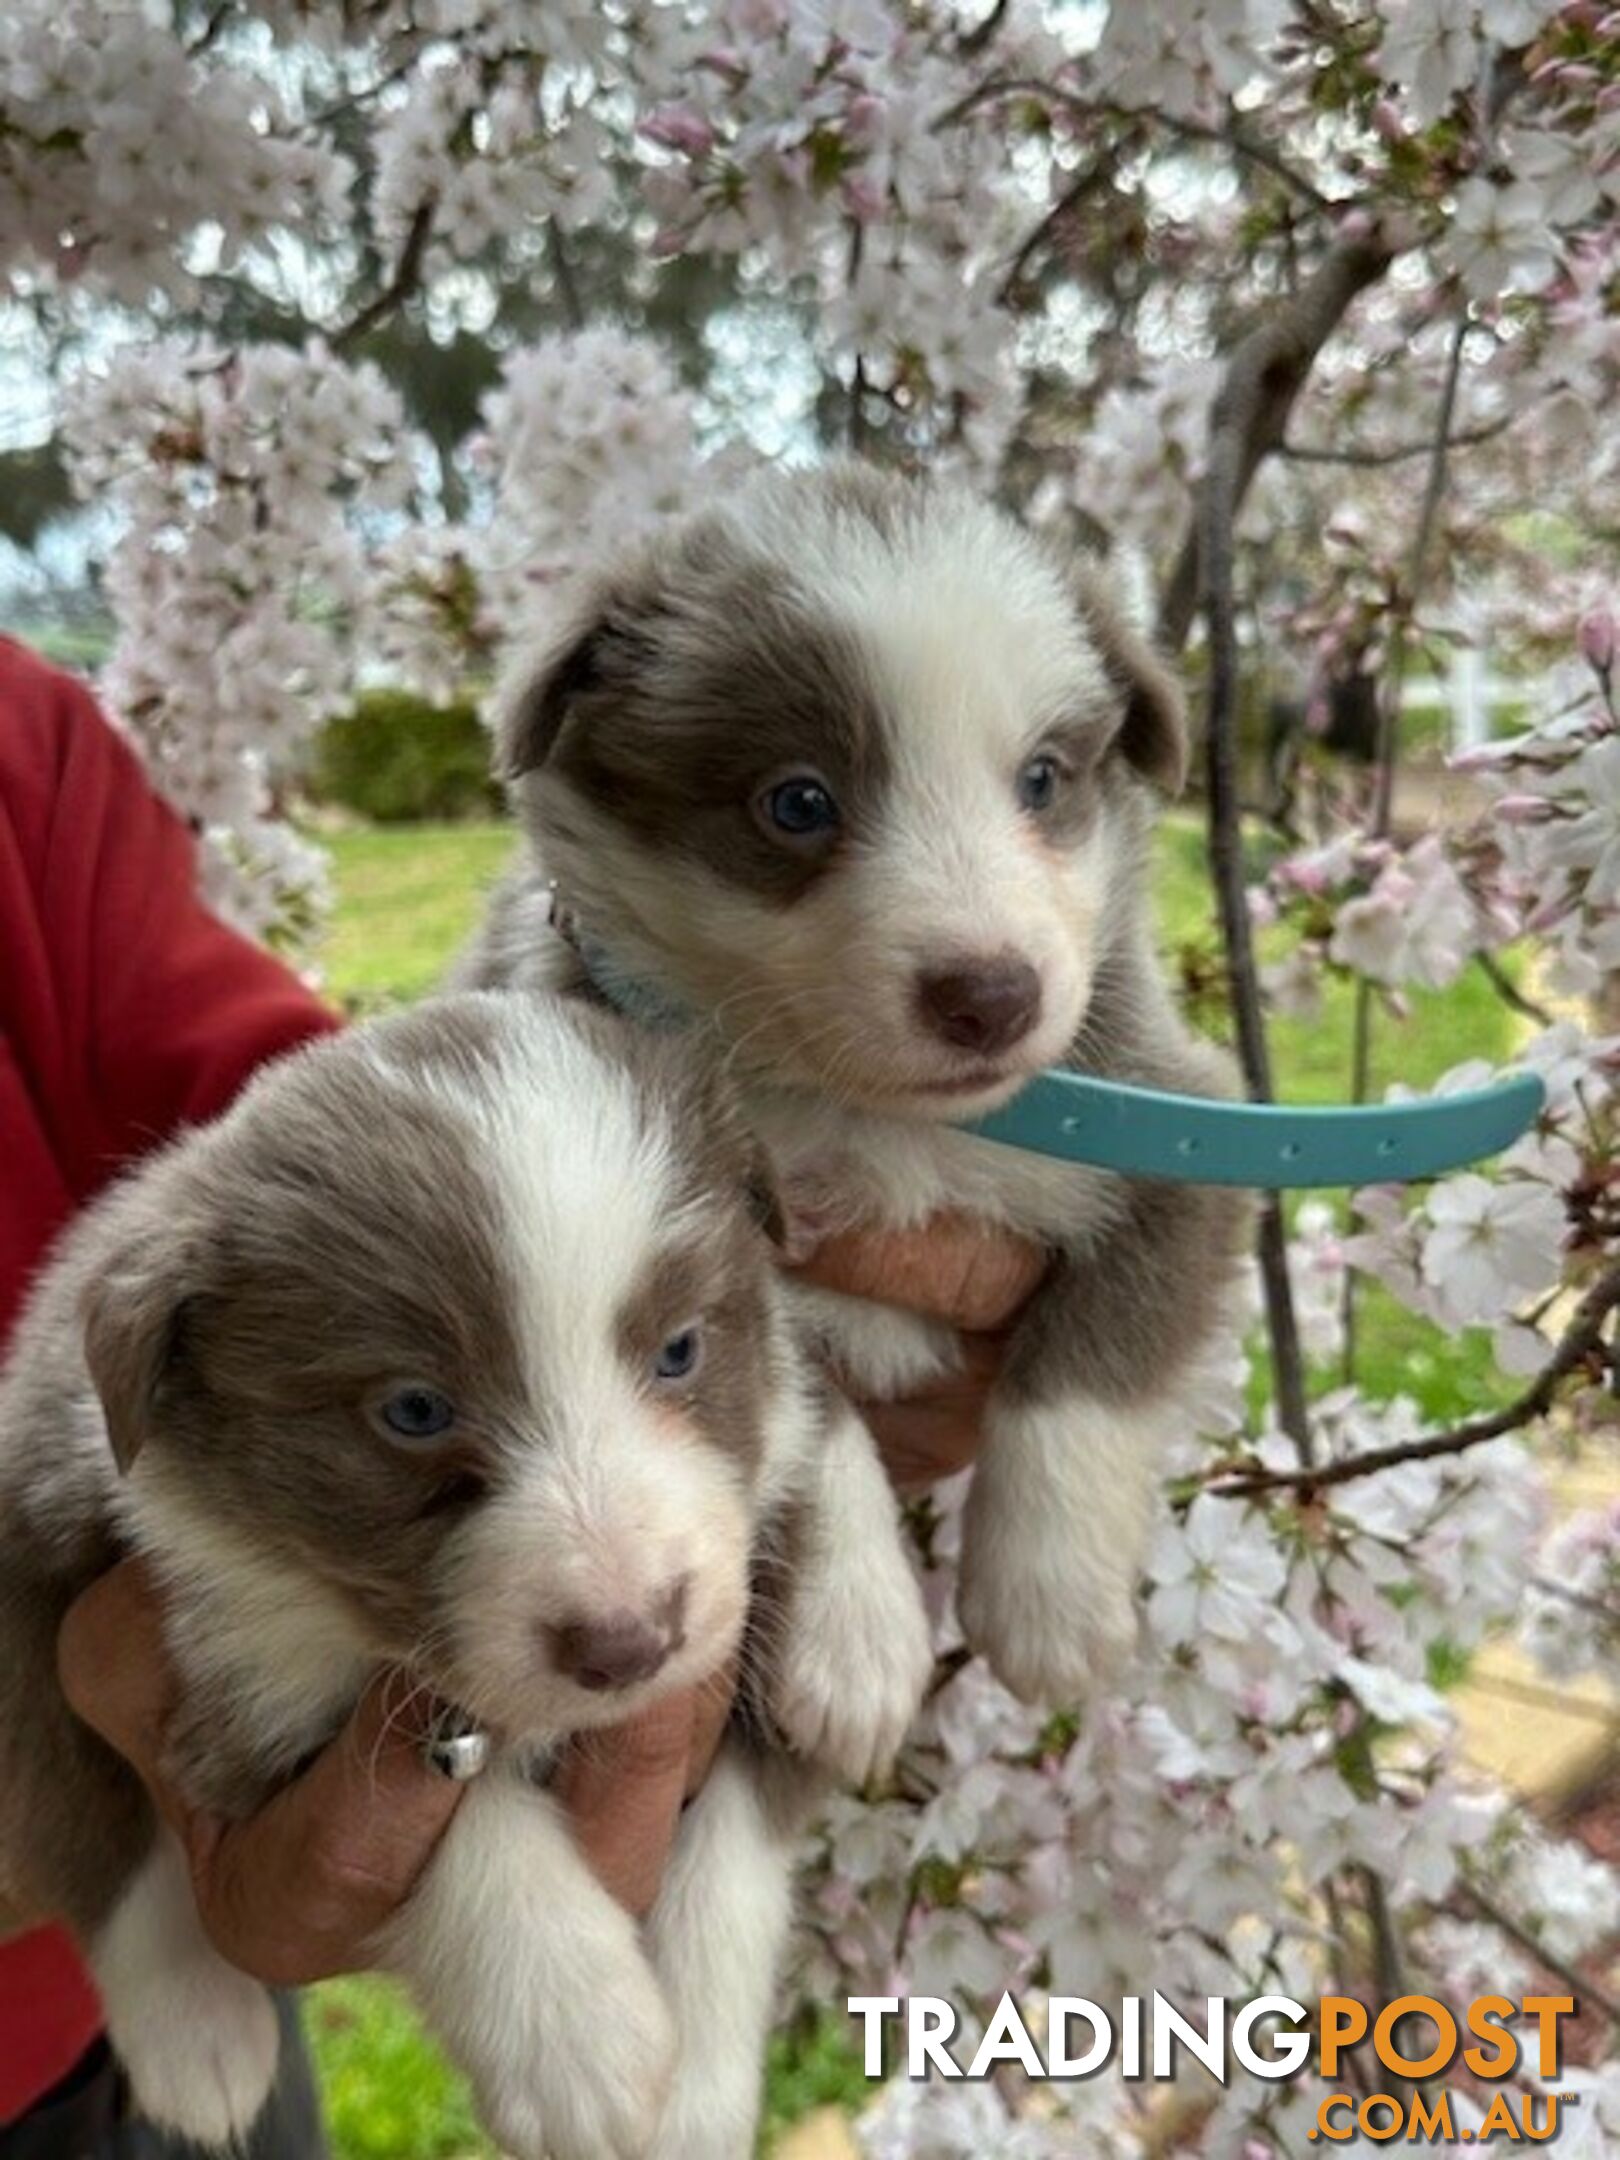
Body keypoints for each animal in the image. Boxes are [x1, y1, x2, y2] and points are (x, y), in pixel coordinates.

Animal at [0, 989, 933, 2160]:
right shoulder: (241, 1685)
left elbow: (733, 1851)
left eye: (680, 1350)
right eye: (414, 1410)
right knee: (86, 1816)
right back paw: (197, 2034)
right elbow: (448, 1814)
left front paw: (858, 1630)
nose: (628, 1642)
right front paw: (573, 2031)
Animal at [462, 464, 1252, 1710]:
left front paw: (1049, 1596)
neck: (877, 1115)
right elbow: (807, 1413)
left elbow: (1087, 1365)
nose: (992, 995)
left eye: (1042, 780)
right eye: (798, 802)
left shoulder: (1182, 1129)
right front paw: (854, 1641)